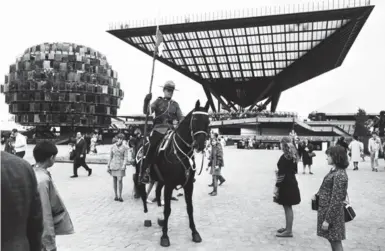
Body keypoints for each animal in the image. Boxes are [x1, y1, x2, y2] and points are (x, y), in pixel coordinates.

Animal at [133, 100, 210, 247]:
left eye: (208, 121)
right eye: (195, 120)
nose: (200, 145)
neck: (180, 153)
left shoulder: (188, 185)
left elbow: (190, 208)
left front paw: (195, 233)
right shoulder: (169, 185)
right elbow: (168, 210)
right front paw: (164, 236)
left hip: (159, 180)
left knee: (157, 194)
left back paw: (160, 219)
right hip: (141, 175)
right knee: (144, 195)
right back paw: (147, 218)